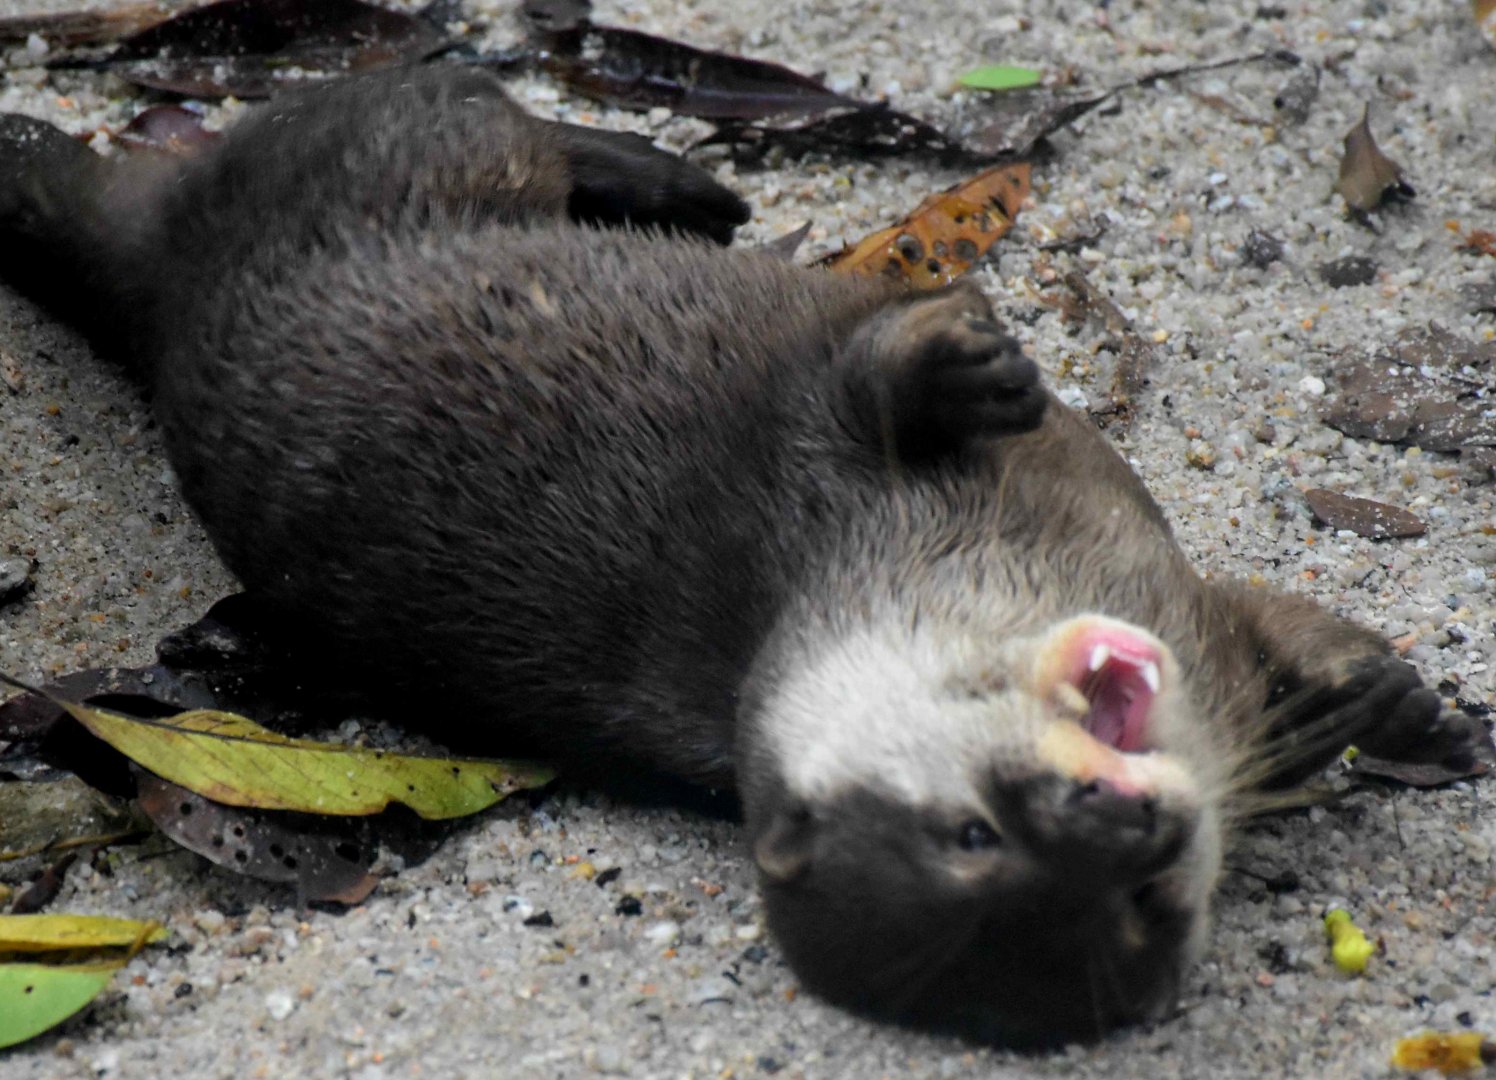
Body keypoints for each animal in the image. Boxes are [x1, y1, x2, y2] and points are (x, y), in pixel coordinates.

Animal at [0, 66, 1481, 1047]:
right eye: (983, 850)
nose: (1135, 831)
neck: (929, 570)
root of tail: (166, 279)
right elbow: (846, 380)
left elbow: (867, 379)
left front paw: (1401, 711)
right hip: (402, 158)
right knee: (448, 90)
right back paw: (661, 174)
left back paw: (683, 184)